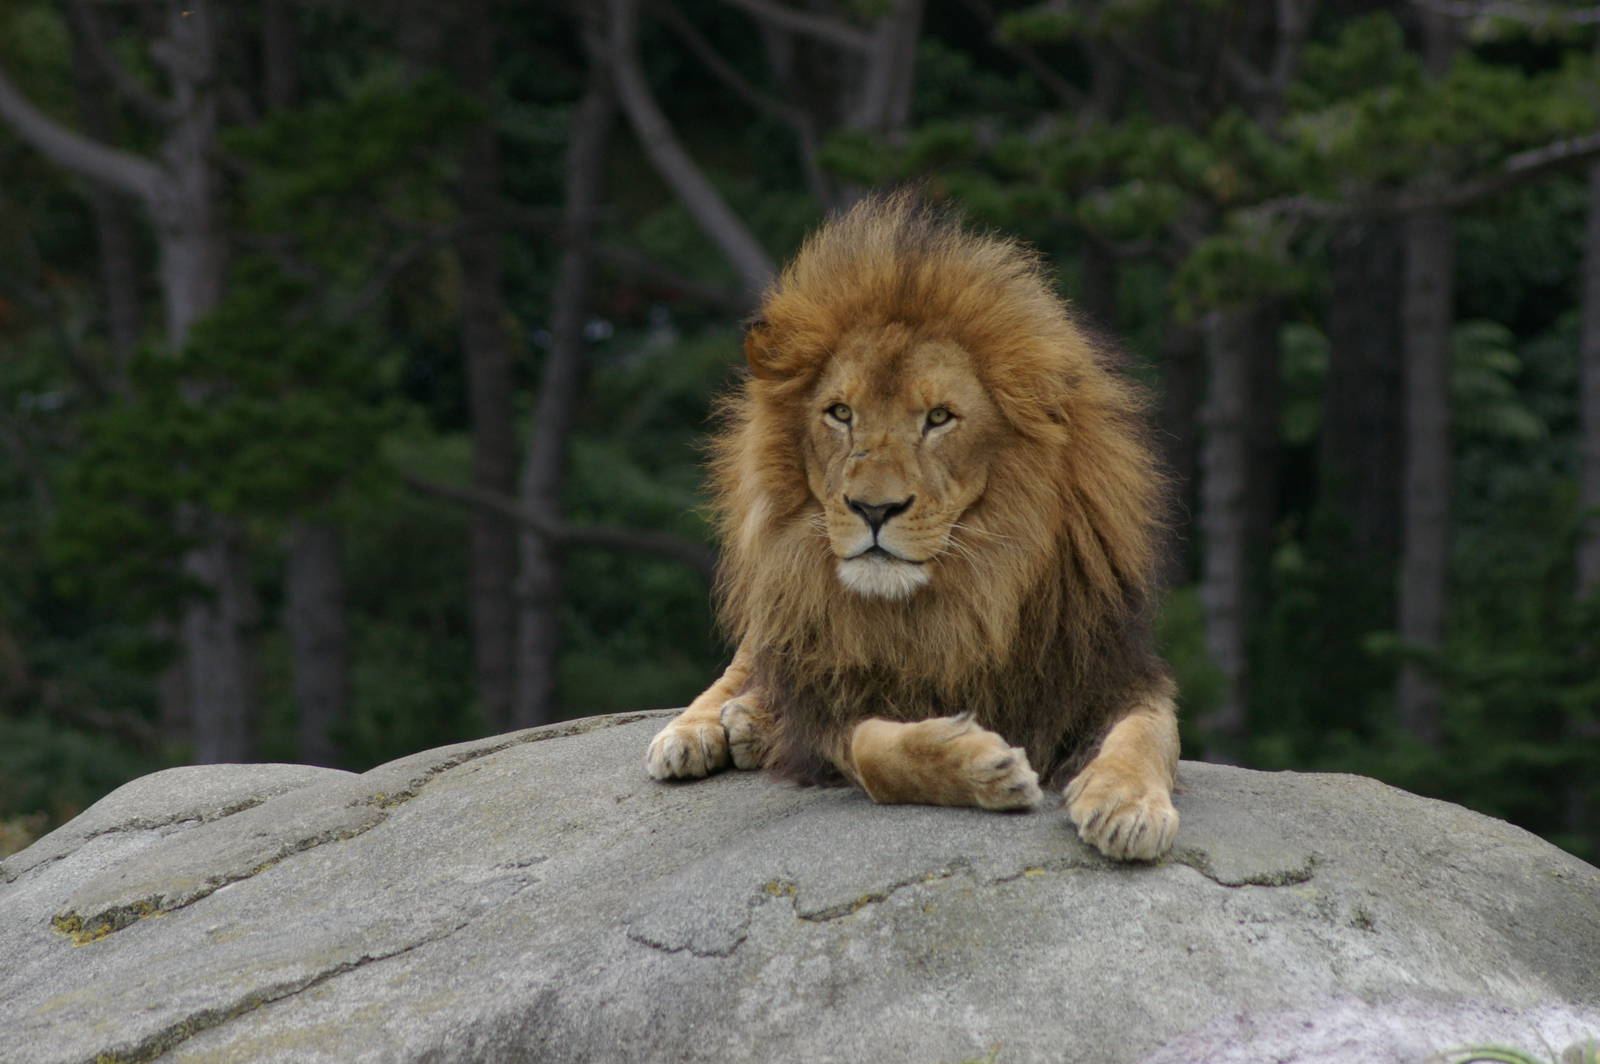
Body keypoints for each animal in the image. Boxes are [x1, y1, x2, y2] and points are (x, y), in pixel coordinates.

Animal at [646, 192, 1180, 861]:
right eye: (840, 413)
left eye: (940, 418)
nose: (874, 509)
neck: (961, 597)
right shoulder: (831, 703)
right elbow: (872, 747)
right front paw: (981, 767)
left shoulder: (1107, 668)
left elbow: (1147, 732)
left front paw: (1128, 805)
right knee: (740, 669)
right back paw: (699, 732)